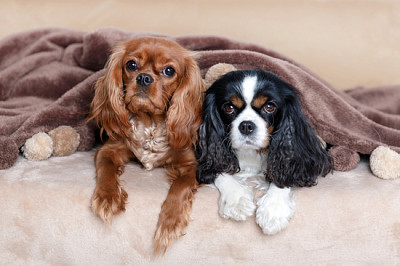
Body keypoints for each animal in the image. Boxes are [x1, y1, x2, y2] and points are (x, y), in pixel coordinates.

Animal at [196, 69, 332, 235]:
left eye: (269, 106)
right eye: (229, 108)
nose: (246, 125)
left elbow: (284, 173)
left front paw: (273, 209)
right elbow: (217, 169)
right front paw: (236, 199)